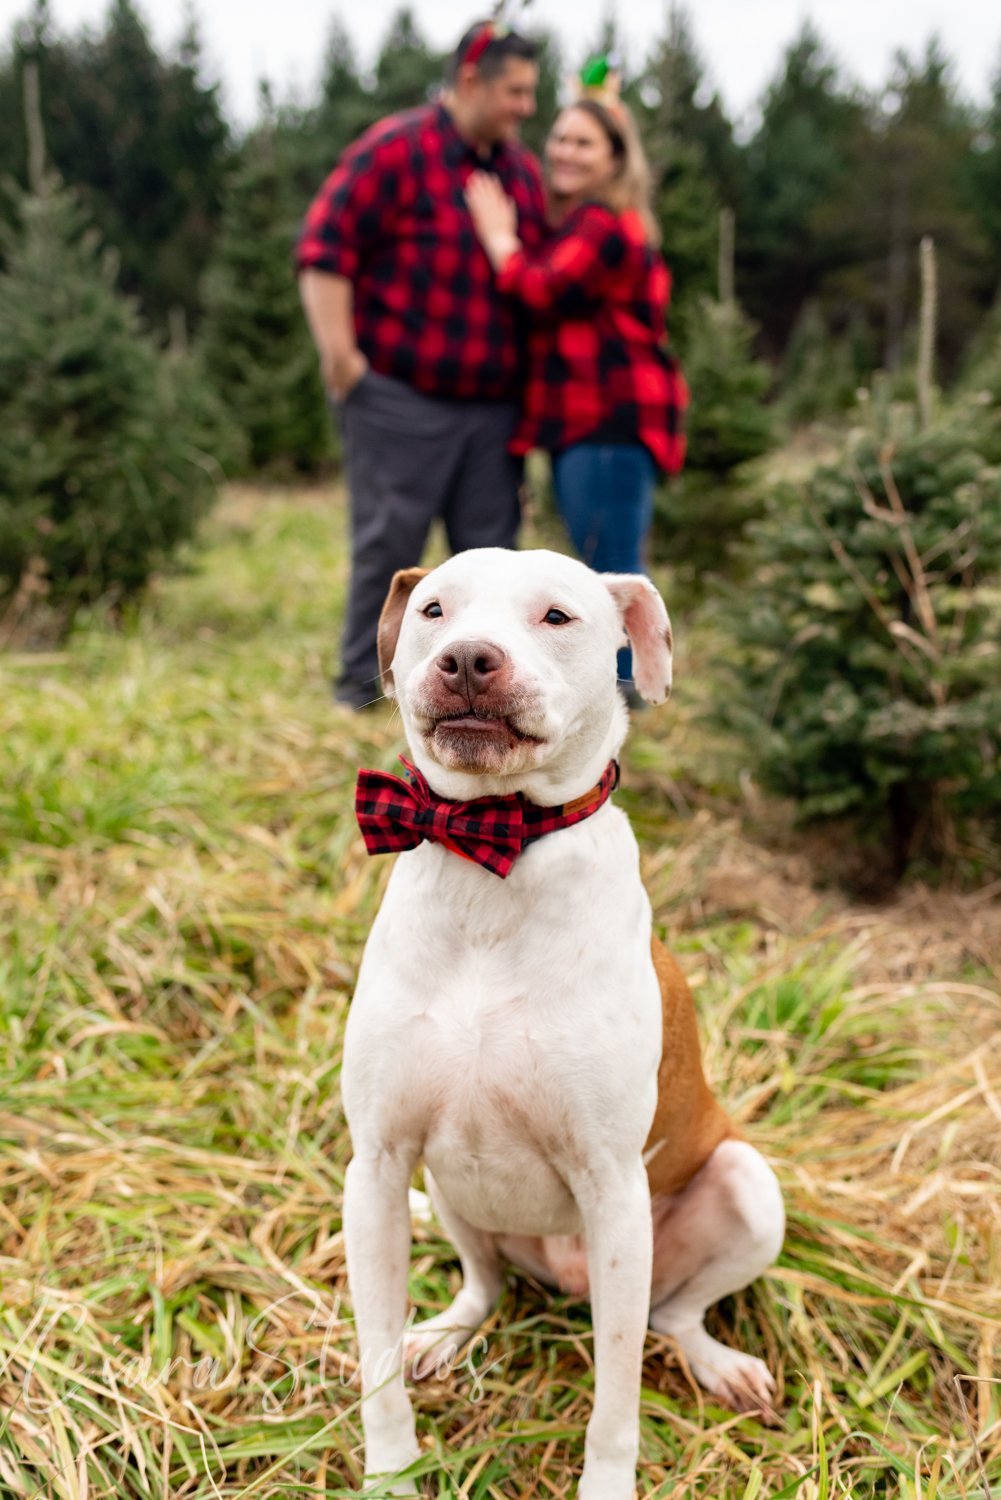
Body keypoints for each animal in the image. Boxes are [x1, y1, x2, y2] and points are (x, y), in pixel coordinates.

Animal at [340, 552, 786, 1500]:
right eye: (433, 610)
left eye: (556, 617)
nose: (468, 659)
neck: (487, 854)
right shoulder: (379, 1167)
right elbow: (374, 1366)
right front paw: (392, 1471)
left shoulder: (613, 1193)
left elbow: (614, 1401)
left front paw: (606, 1484)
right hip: (451, 1194)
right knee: (486, 1284)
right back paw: (443, 1333)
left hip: (740, 1188)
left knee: (670, 1315)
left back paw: (718, 1362)